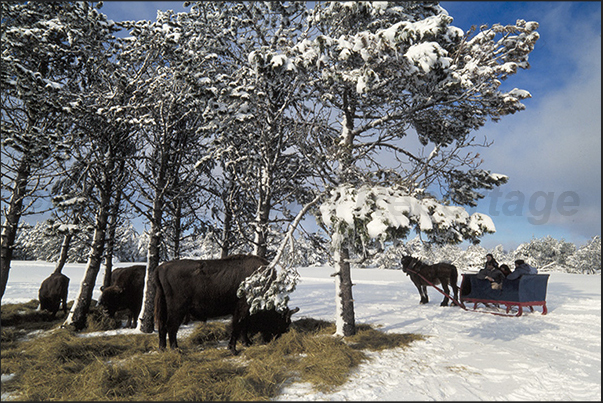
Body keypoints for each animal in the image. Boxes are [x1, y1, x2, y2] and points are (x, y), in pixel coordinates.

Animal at [155, 254, 298, 356]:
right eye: (282, 320)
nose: (282, 334)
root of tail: (160, 268)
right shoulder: (241, 311)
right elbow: (237, 327)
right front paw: (233, 349)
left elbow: (243, 327)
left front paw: (247, 343)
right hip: (178, 309)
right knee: (171, 327)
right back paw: (176, 350)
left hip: (164, 307)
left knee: (162, 326)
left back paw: (162, 349)